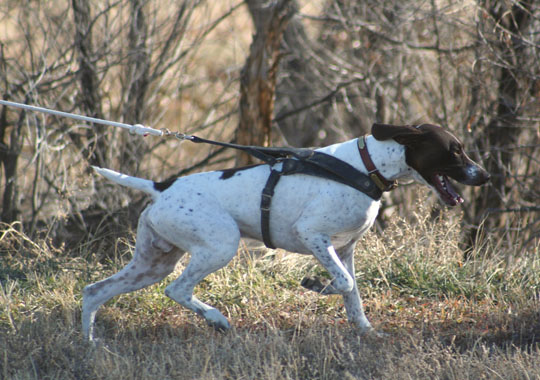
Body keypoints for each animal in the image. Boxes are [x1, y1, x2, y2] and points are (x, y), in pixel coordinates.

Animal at [82, 123, 492, 340]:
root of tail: (160, 186)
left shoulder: (345, 250)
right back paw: (215, 318)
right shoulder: (313, 235)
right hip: (219, 246)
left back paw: (91, 344)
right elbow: (343, 283)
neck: (366, 165)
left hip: (153, 263)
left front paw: (364, 330)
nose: (485, 176)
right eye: (455, 151)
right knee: (177, 290)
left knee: (94, 291)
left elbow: (353, 294)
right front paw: (315, 285)